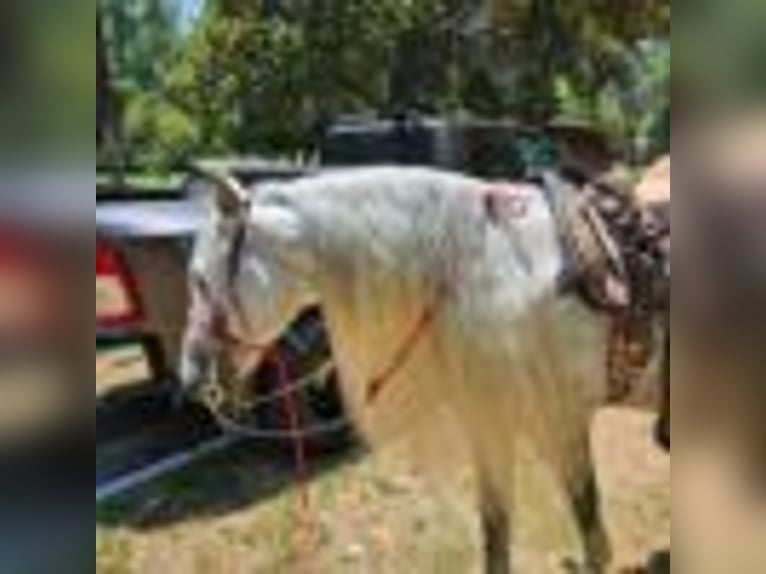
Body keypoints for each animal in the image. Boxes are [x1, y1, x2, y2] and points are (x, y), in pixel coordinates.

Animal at [179, 166, 666, 574]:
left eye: (201, 280)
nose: (190, 377)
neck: (489, 272)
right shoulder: (489, 421)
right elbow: (495, 530)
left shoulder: (559, 421)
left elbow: (592, 535)